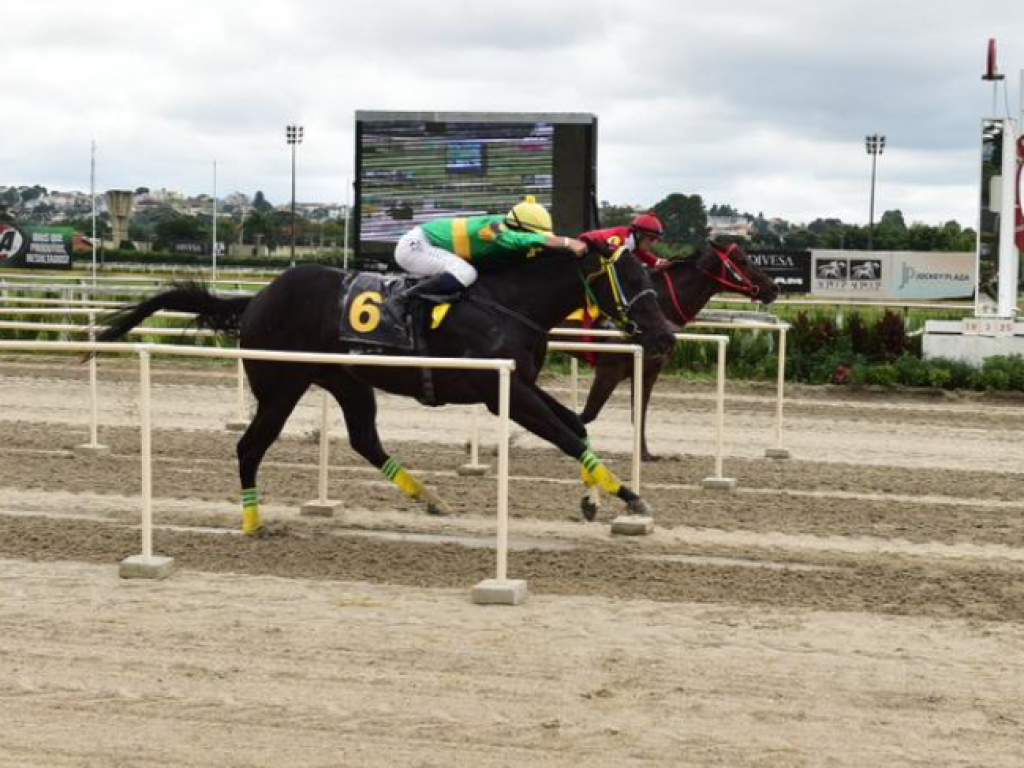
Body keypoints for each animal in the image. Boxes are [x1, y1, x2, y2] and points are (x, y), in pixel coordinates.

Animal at [94, 246, 671, 536]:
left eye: (653, 274)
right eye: (629, 275)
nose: (665, 335)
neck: (509, 301)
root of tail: (257, 298)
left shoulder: (520, 383)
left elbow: (575, 427)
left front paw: (593, 499)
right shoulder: (500, 390)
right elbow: (568, 436)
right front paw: (632, 498)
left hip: (347, 382)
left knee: (364, 440)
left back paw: (431, 499)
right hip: (281, 386)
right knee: (248, 446)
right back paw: (253, 523)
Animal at [577, 240, 774, 460]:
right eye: (742, 260)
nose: (774, 287)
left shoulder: (648, 372)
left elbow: (639, 413)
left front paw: (645, 454)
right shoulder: (609, 369)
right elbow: (586, 414)